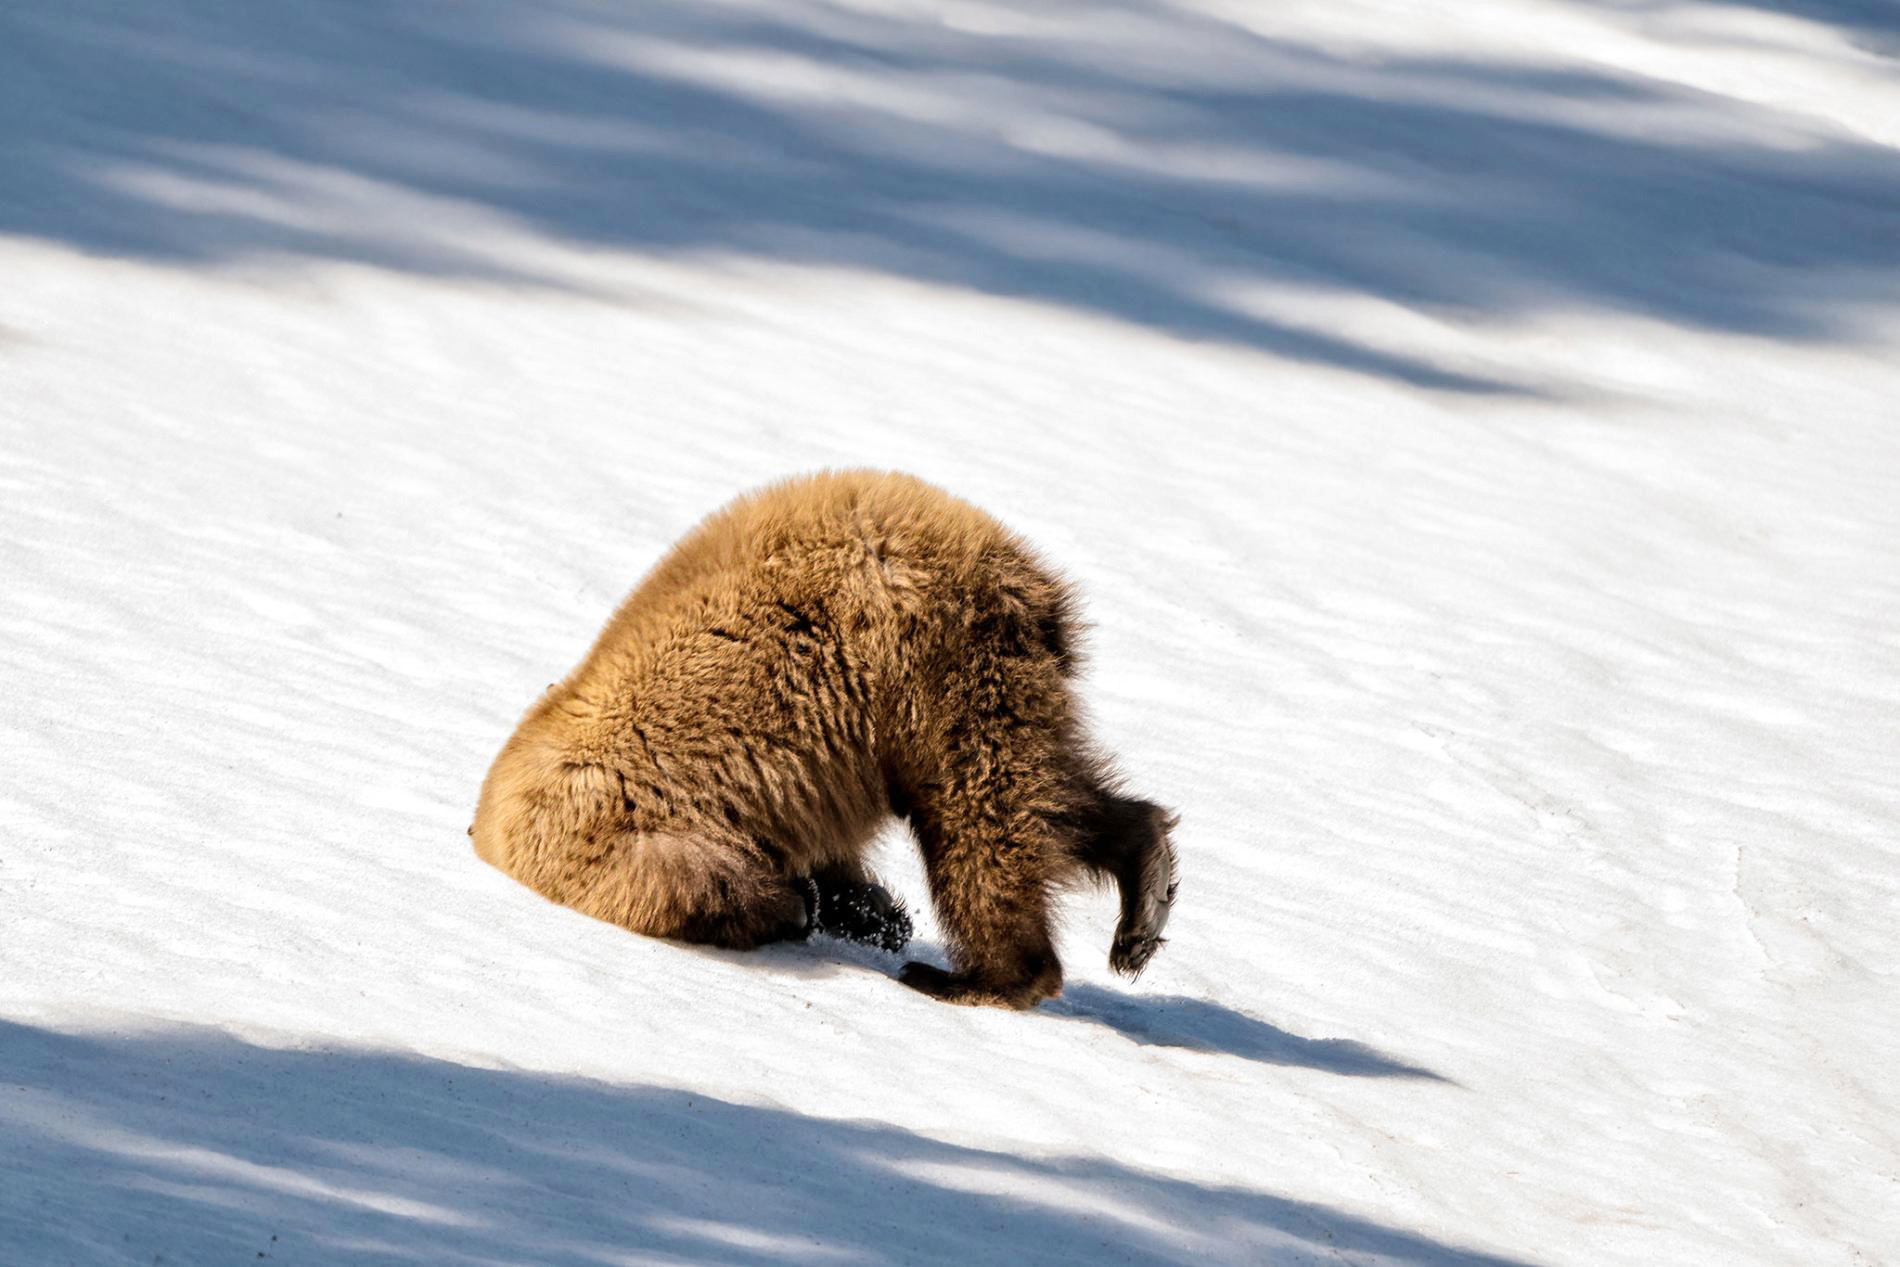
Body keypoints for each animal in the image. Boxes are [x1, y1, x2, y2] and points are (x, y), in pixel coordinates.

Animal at [471, 469, 1170, 1010]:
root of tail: (1014, 574)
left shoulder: (619, 826)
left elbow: (694, 883)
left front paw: (805, 909)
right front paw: (868, 912)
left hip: (930, 676)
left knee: (979, 819)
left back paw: (976, 977)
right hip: (997, 682)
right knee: (1049, 793)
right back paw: (1143, 894)